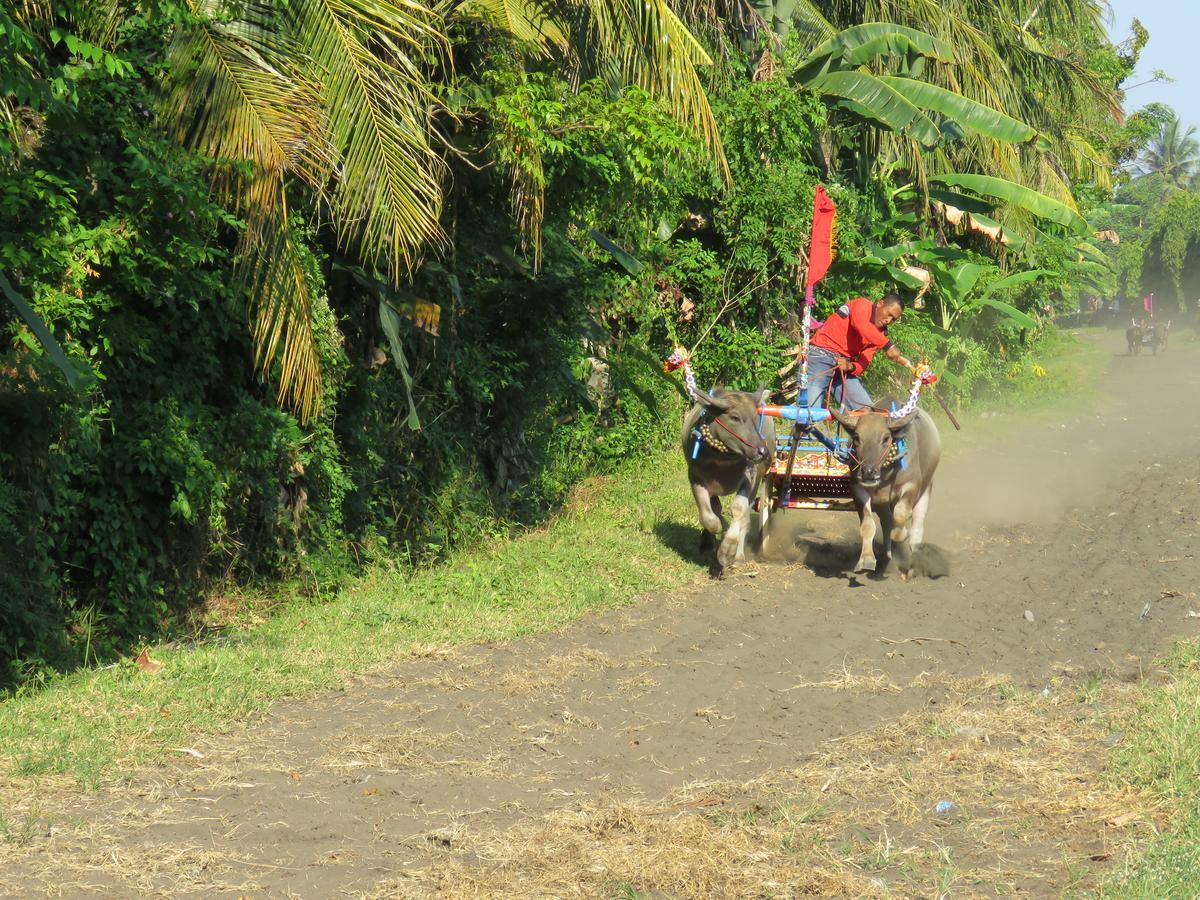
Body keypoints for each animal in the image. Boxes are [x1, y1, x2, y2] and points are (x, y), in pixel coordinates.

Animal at [681, 388, 772, 578]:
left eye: (755, 416)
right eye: (735, 417)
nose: (762, 452)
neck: (721, 460)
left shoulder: (749, 478)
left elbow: (738, 510)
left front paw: (727, 551)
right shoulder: (695, 477)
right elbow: (708, 516)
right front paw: (719, 525)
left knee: (745, 519)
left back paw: (738, 555)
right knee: (715, 507)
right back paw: (707, 541)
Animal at [835, 405, 936, 580]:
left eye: (886, 438)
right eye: (857, 437)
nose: (868, 472)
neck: (887, 472)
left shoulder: (912, 485)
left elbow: (901, 517)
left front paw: (901, 534)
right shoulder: (858, 489)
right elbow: (868, 525)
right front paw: (866, 559)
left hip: (926, 488)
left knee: (916, 527)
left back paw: (911, 566)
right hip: (882, 503)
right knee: (887, 522)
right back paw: (888, 558)